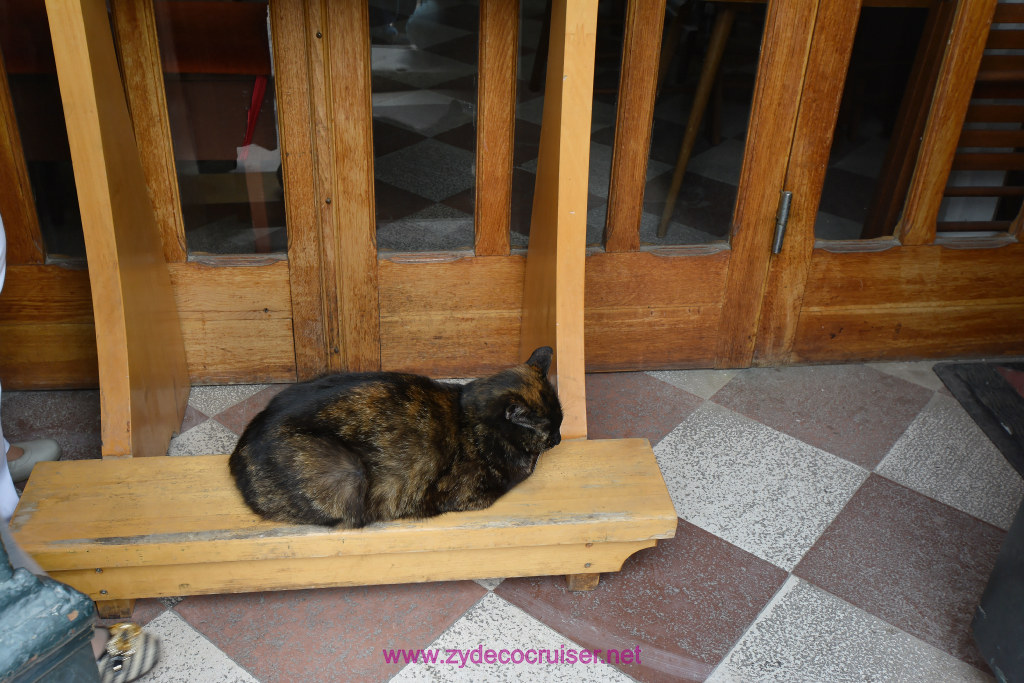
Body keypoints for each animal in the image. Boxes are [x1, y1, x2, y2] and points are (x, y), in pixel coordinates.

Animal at [229, 348, 565, 528]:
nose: (560, 439)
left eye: (561, 421)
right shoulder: (470, 495)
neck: (471, 416)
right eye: (550, 429)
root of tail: (237, 456)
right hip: (348, 473)